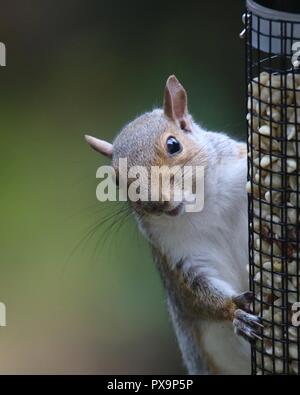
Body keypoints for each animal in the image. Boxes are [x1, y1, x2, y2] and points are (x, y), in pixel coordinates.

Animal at [84, 76, 262, 376]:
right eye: (117, 179)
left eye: (173, 144)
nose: (156, 202)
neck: (204, 206)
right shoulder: (178, 255)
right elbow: (196, 294)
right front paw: (235, 312)